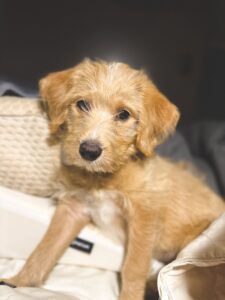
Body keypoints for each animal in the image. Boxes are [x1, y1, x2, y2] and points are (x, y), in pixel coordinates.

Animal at [0, 59, 224, 300]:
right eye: (82, 104)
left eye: (124, 114)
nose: (89, 151)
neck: (102, 179)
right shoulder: (72, 209)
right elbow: (45, 247)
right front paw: (20, 281)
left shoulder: (143, 215)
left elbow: (133, 267)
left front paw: (130, 296)